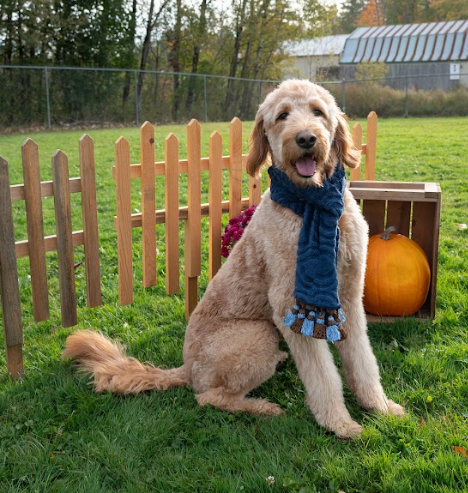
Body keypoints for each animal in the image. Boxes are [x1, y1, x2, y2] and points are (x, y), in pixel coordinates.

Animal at [64, 80, 404, 438]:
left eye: (318, 111)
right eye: (282, 116)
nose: (306, 139)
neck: (311, 203)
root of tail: (186, 368)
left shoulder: (349, 296)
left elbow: (362, 360)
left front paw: (379, 407)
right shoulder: (289, 305)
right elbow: (323, 376)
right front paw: (340, 423)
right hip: (257, 335)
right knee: (209, 398)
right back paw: (261, 407)